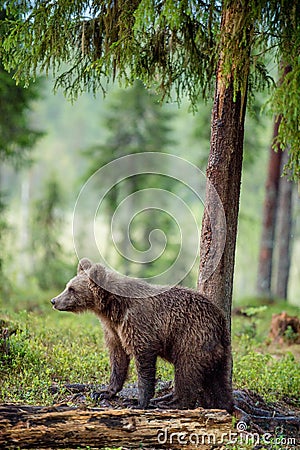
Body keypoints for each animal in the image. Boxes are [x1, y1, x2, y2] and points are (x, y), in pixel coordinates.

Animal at [51, 258, 234, 414]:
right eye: (67, 286)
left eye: (72, 289)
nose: (54, 301)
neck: (113, 309)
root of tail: (220, 319)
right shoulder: (114, 330)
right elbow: (118, 358)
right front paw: (104, 391)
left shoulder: (138, 324)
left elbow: (143, 361)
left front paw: (139, 402)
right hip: (218, 350)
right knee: (218, 381)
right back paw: (222, 404)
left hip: (191, 338)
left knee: (186, 370)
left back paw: (171, 402)